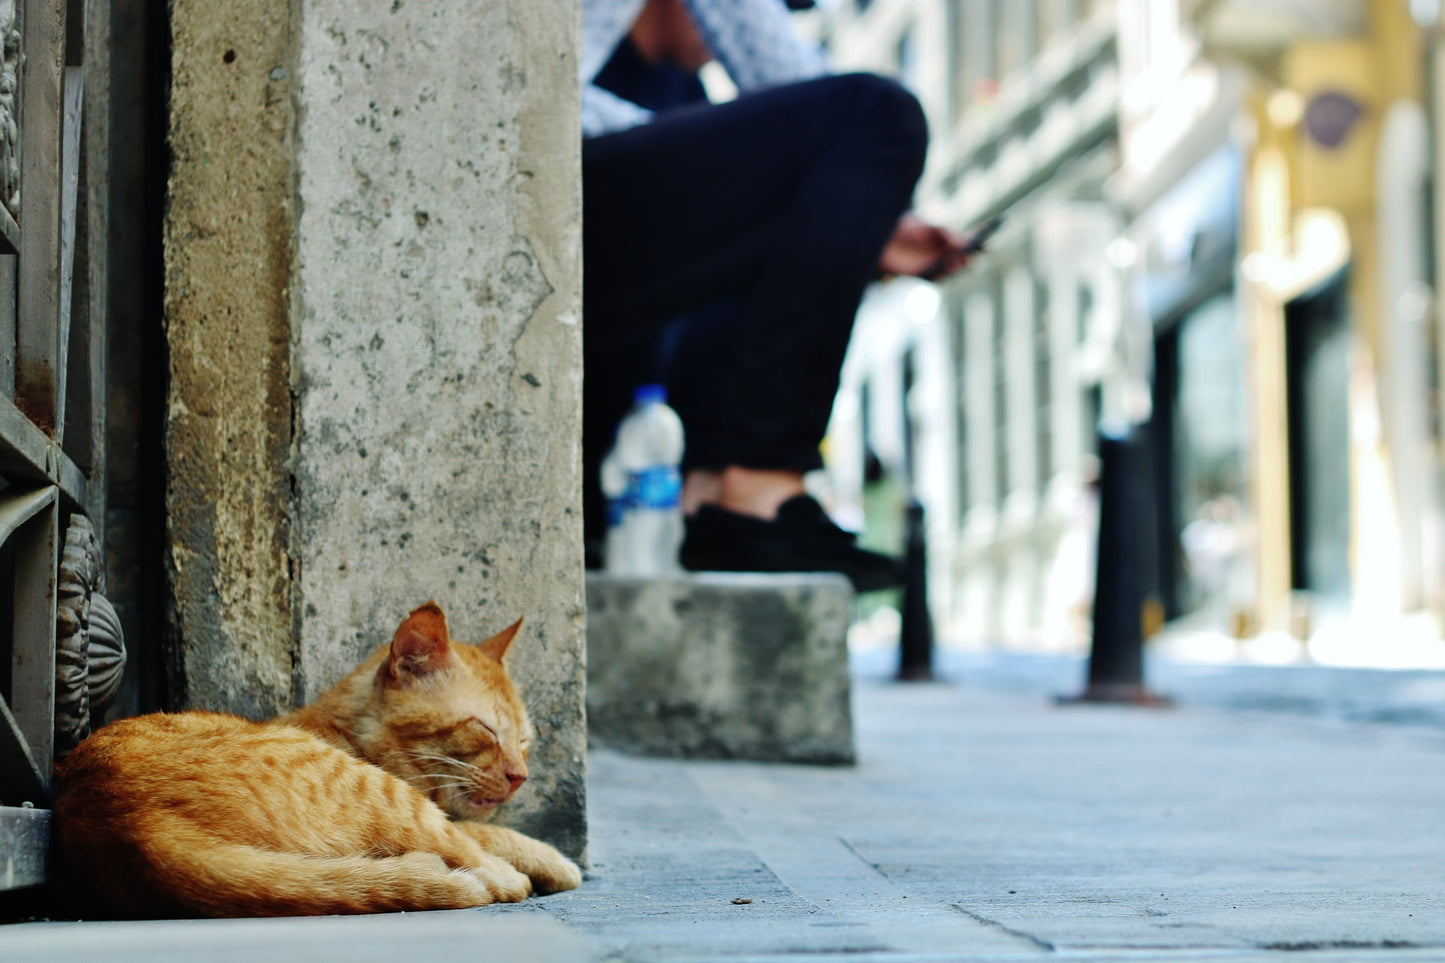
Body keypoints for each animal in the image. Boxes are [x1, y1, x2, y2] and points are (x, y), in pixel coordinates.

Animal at [52, 601, 580, 913]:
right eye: (487, 728)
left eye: (525, 741)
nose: (520, 775)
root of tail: (131, 824)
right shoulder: (432, 807)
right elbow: (484, 831)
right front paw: (553, 859)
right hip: (383, 795)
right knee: (467, 851)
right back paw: (508, 877)